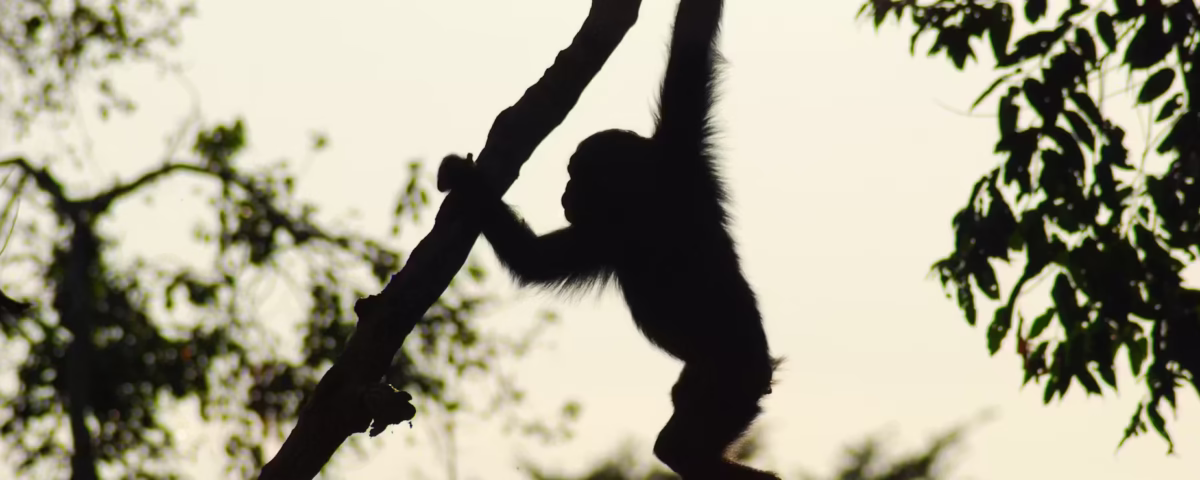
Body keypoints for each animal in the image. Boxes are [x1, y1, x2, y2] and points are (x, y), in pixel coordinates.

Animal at [437, 0, 778, 478]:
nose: (565, 192)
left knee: (679, 448)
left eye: (576, 176)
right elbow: (692, 37)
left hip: (729, 381)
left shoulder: (626, 213)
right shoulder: (676, 160)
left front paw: (465, 181)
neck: (644, 192)